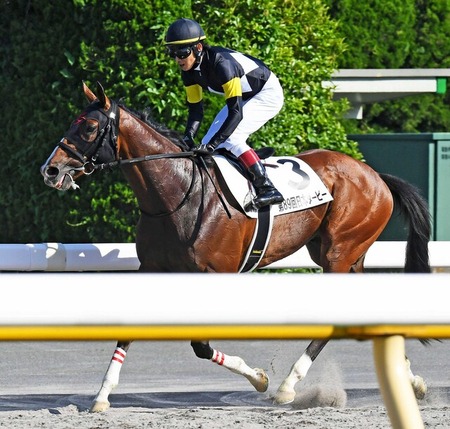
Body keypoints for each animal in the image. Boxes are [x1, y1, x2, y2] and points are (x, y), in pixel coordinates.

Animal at [40, 81, 430, 412]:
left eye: (89, 128)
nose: (50, 169)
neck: (177, 194)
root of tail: (375, 176)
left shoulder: (215, 273)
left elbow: (201, 345)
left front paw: (260, 378)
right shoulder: (152, 268)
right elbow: (131, 331)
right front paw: (102, 395)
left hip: (339, 252)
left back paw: (288, 386)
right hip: (340, 253)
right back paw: (411, 379)